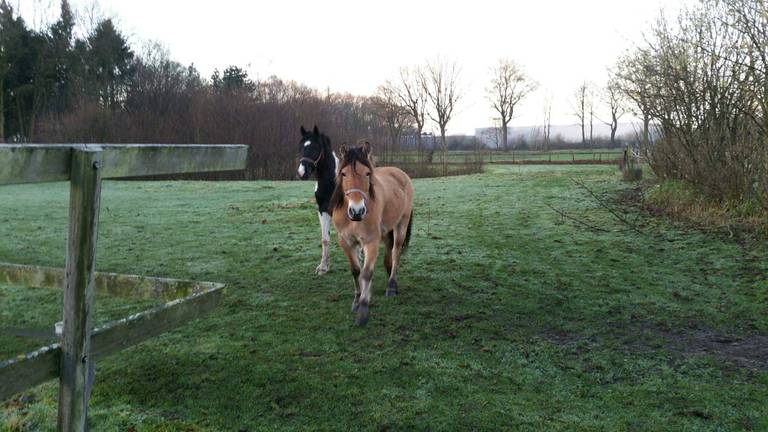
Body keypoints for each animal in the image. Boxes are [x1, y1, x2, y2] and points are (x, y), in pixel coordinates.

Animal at [296, 125, 340, 274]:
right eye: (301, 147)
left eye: (315, 147)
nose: (301, 173)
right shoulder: (323, 211)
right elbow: (325, 239)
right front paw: (323, 267)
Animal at [330, 141, 414, 324]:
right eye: (343, 173)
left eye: (368, 173)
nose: (357, 211)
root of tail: (399, 172)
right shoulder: (346, 242)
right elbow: (356, 270)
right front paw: (357, 300)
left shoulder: (371, 242)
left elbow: (367, 272)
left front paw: (363, 309)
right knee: (389, 254)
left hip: (401, 224)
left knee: (396, 252)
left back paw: (391, 285)